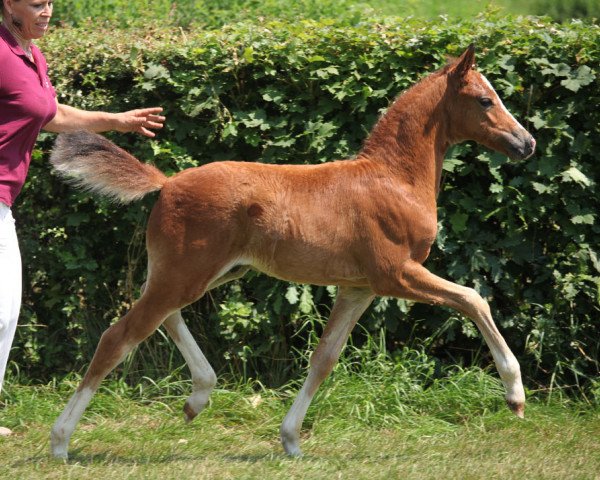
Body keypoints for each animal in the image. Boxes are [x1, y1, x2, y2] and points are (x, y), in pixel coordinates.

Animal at [47, 45, 536, 458]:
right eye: (485, 100)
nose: (527, 143)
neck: (393, 178)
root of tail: (166, 183)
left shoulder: (358, 289)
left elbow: (323, 360)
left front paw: (291, 441)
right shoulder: (396, 272)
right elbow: (473, 299)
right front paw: (515, 395)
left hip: (207, 273)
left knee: (163, 318)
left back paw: (197, 397)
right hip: (186, 273)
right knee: (120, 336)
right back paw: (61, 442)